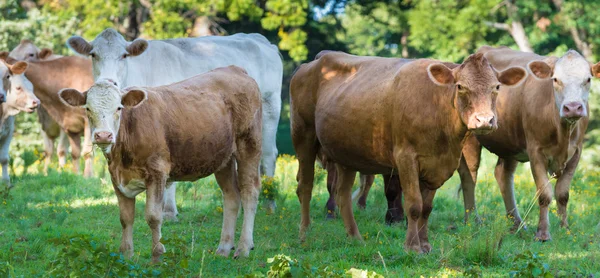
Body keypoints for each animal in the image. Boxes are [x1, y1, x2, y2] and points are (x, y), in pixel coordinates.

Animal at [58, 66, 262, 262]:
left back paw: (244, 248)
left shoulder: (157, 173)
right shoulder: (116, 178)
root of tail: (235, 69)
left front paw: (157, 256)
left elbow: (153, 217)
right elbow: (125, 218)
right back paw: (224, 248)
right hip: (222, 158)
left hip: (249, 145)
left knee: (249, 192)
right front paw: (126, 256)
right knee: (231, 196)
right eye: (87, 108)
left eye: (118, 108)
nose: (103, 135)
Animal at [67, 28, 282, 219]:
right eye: (94, 54)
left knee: (269, 155)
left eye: (124, 55)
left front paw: (168, 211)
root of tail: (259, 39)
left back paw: (270, 204)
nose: (109, 81)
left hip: (270, 108)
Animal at [290, 51, 524, 253]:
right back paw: (304, 234)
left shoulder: (438, 165)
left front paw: (425, 244)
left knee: (342, 193)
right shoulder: (406, 158)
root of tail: (311, 64)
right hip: (303, 136)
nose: (484, 120)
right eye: (460, 86)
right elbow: (414, 204)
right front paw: (412, 246)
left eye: (497, 87)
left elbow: (427, 208)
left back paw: (355, 238)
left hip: (346, 152)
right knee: (305, 187)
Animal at [460, 45, 600, 241]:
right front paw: (543, 233)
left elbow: (563, 194)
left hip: (511, 142)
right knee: (469, 176)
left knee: (503, 175)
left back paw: (517, 223)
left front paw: (565, 229)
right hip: (471, 137)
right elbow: (544, 194)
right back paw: (473, 220)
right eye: (555, 79)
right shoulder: (536, 152)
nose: (572, 107)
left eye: (587, 79)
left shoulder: (576, 152)